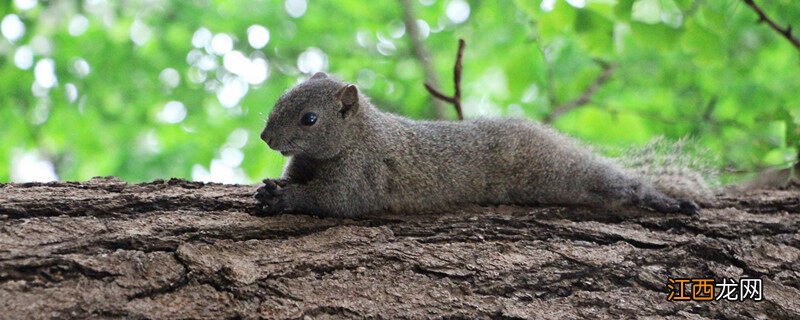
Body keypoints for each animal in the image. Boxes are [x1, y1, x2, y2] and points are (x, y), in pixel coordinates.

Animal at [253, 72, 704, 218]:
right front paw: (270, 189)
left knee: (617, 181)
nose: (265, 137)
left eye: (310, 119)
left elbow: (338, 201)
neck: (356, 134)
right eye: (281, 97)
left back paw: (665, 200)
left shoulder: (364, 170)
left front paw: (284, 200)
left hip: (559, 169)